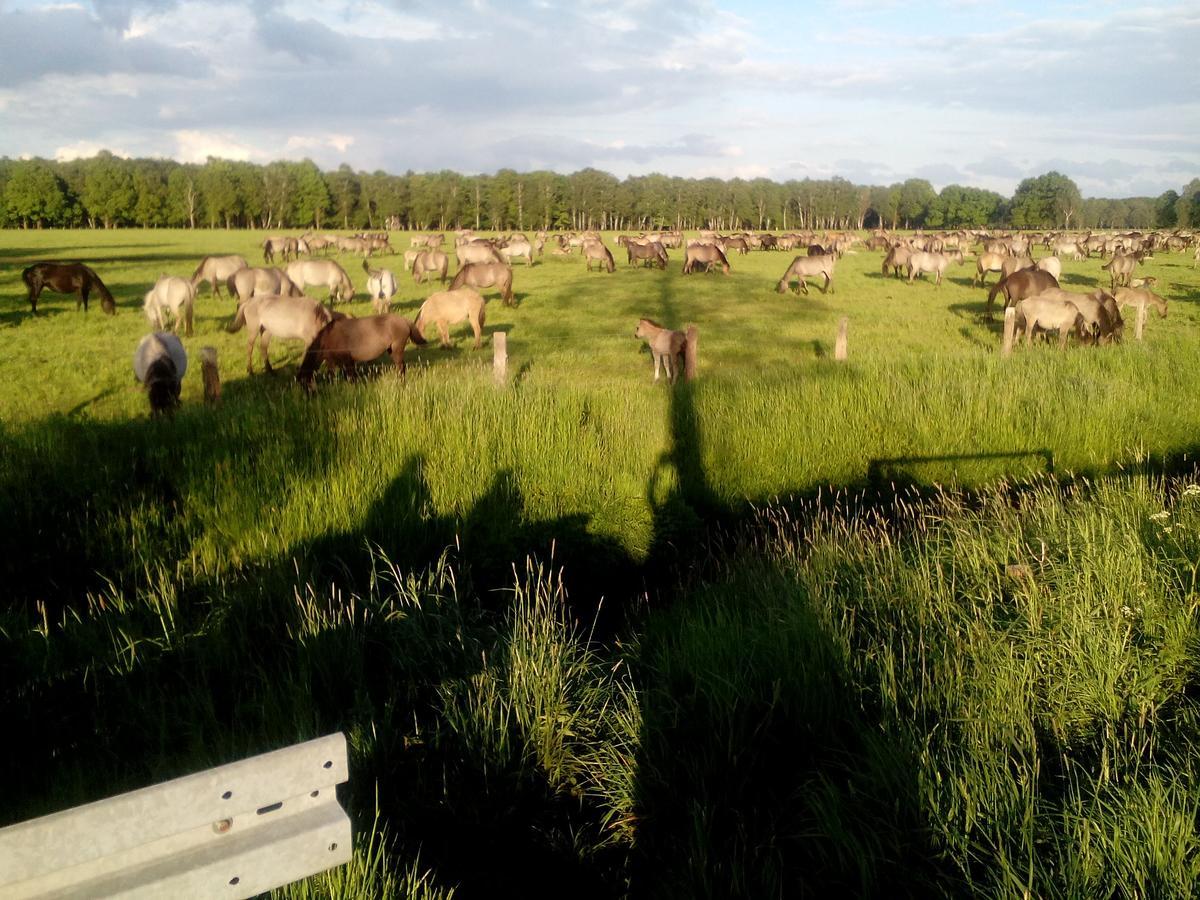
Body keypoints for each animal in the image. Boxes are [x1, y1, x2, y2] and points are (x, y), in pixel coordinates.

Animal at [295, 314, 427, 391]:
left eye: (304, 385)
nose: (309, 398)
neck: (328, 337)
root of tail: (405, 320)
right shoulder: (332, 361)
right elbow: (333, 376)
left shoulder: (348, 360)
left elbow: (351, 377)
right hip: (391, 350)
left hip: (397, 349)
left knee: (401, 367)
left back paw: (401, 384)